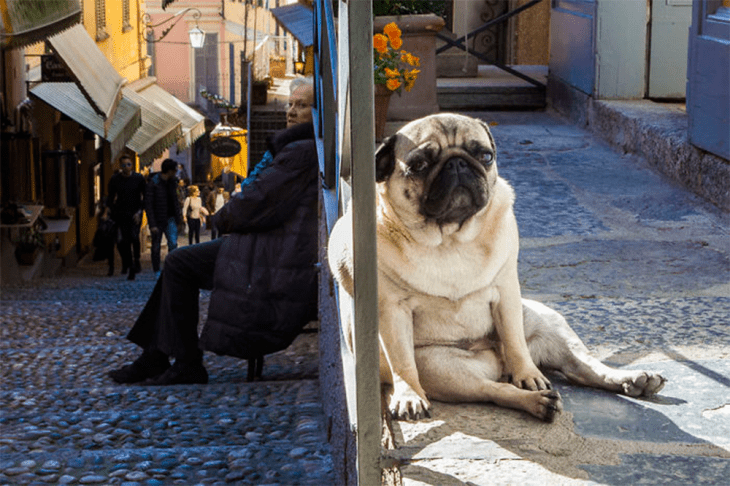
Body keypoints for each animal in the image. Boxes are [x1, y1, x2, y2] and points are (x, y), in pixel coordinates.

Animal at [328, 113, 664, 422]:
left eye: (485, 156)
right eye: (419, 165)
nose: (457, 164)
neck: (450, 239)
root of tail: (498, 365)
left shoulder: (506, 292)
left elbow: (514, 341)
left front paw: (528, 375)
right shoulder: (391, 309)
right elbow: (402, 363)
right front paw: (409, 396)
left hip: (547, 321)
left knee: (581, 365)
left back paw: (629, 380)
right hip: (442, 368)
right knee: (492, 389)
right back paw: (538, 403)